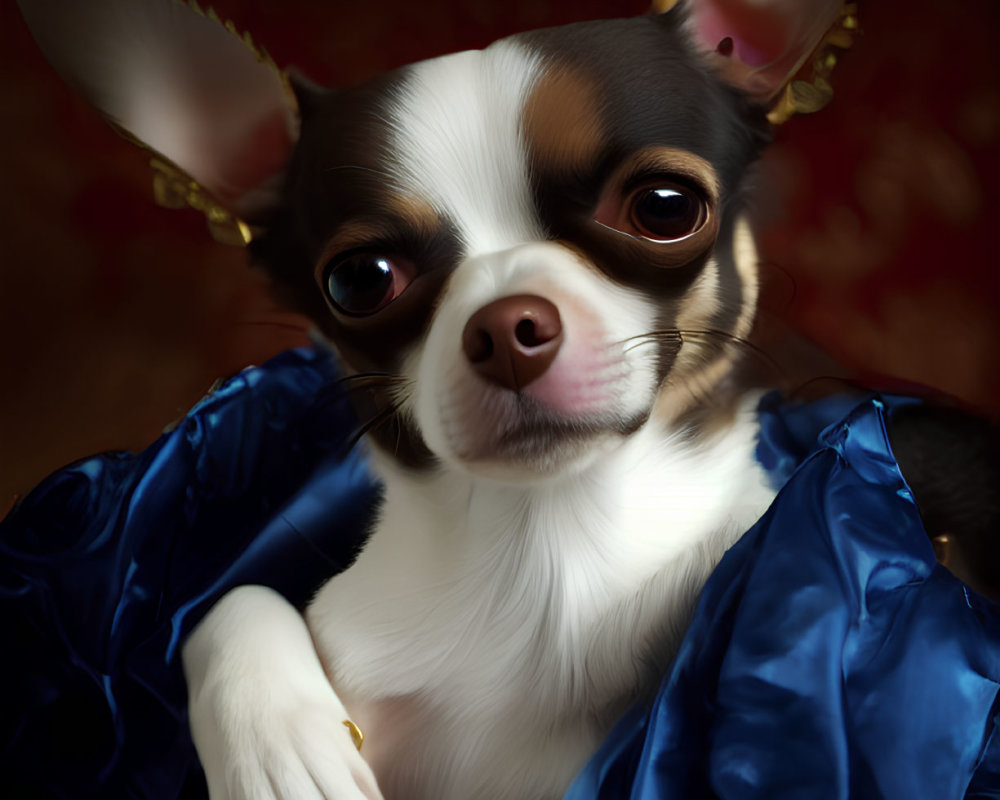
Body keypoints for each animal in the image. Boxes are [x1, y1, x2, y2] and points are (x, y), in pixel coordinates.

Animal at [17, 0, 1000, 796]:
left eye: (665, 206)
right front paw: (281, 753)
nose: (504, 324)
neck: (546, 549)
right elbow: (232, 599)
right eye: (359, 279)